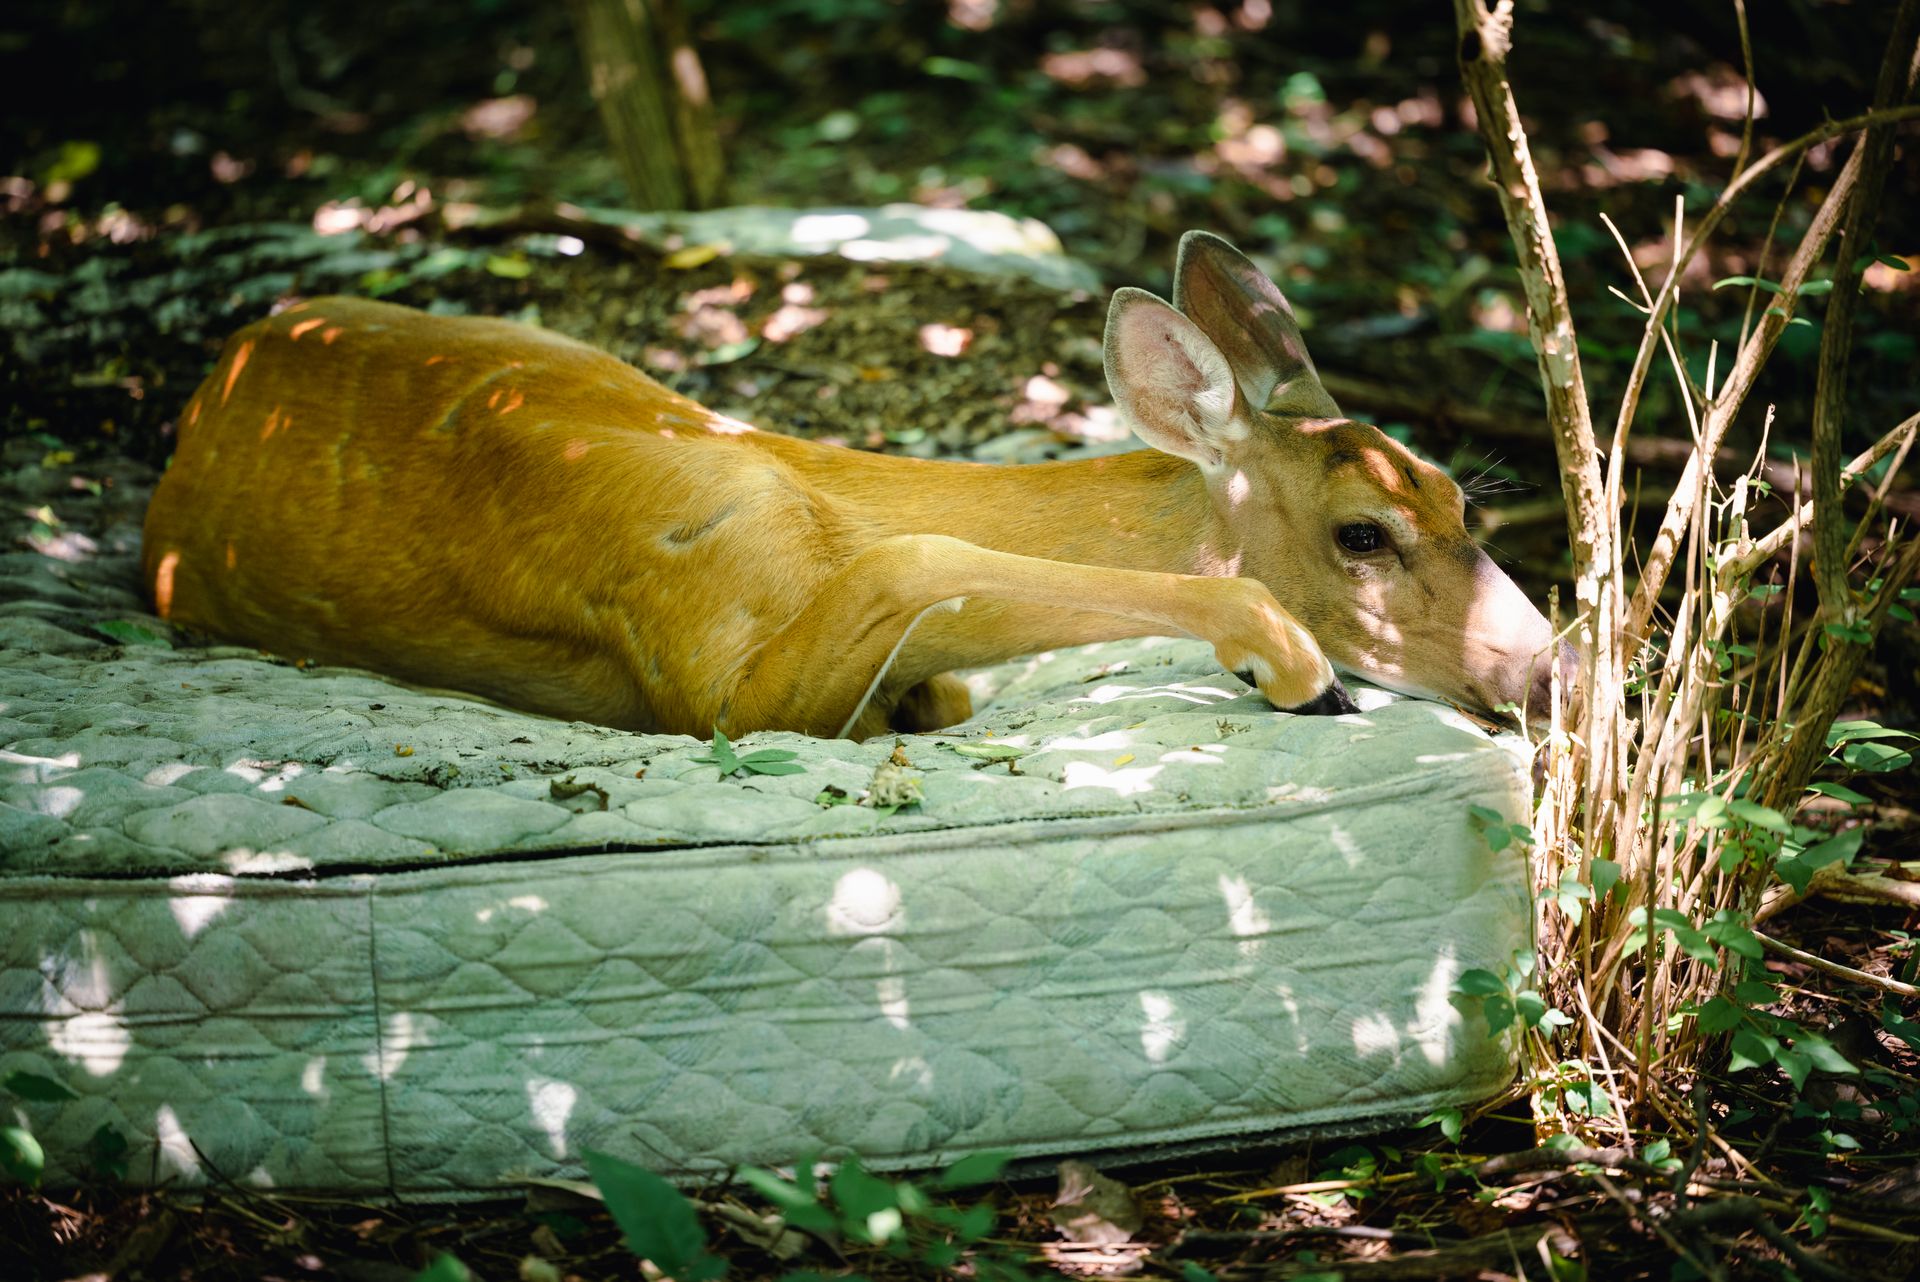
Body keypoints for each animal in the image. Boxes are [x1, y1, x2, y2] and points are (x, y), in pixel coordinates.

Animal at [142, 232, 1573, 742]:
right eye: (1362, 533)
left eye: (1464, 500)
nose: (1549, 670)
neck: (812, 491)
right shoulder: (712, 670)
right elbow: (922, 561)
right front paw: (1291, 664)